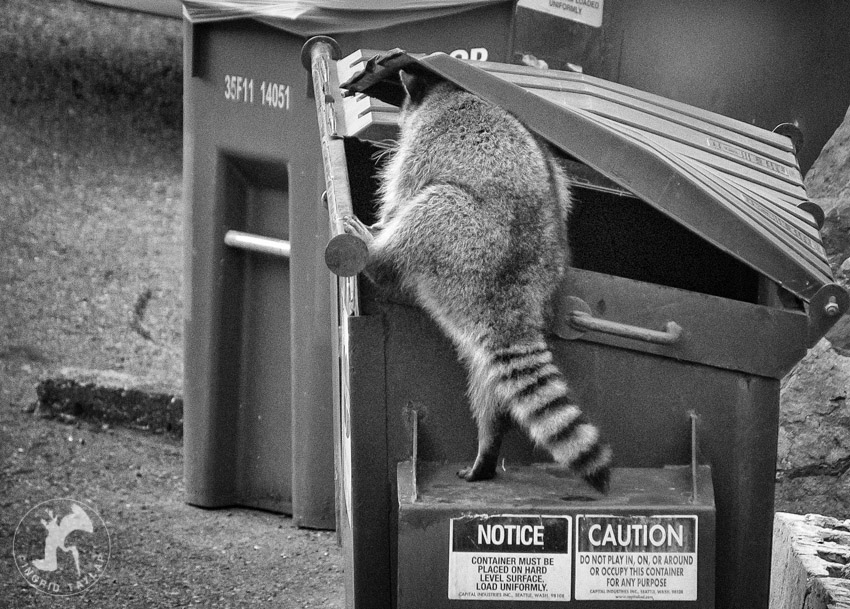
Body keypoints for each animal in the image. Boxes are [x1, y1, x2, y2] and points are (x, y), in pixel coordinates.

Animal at [342, 67, 612, 494]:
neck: (448, 93)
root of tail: (515, 291)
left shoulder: (421, 147)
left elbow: (401, 194)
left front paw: (382, 224)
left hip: (462, 240)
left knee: (430, 206)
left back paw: (377, 258)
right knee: (488, 375)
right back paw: (489, 440)